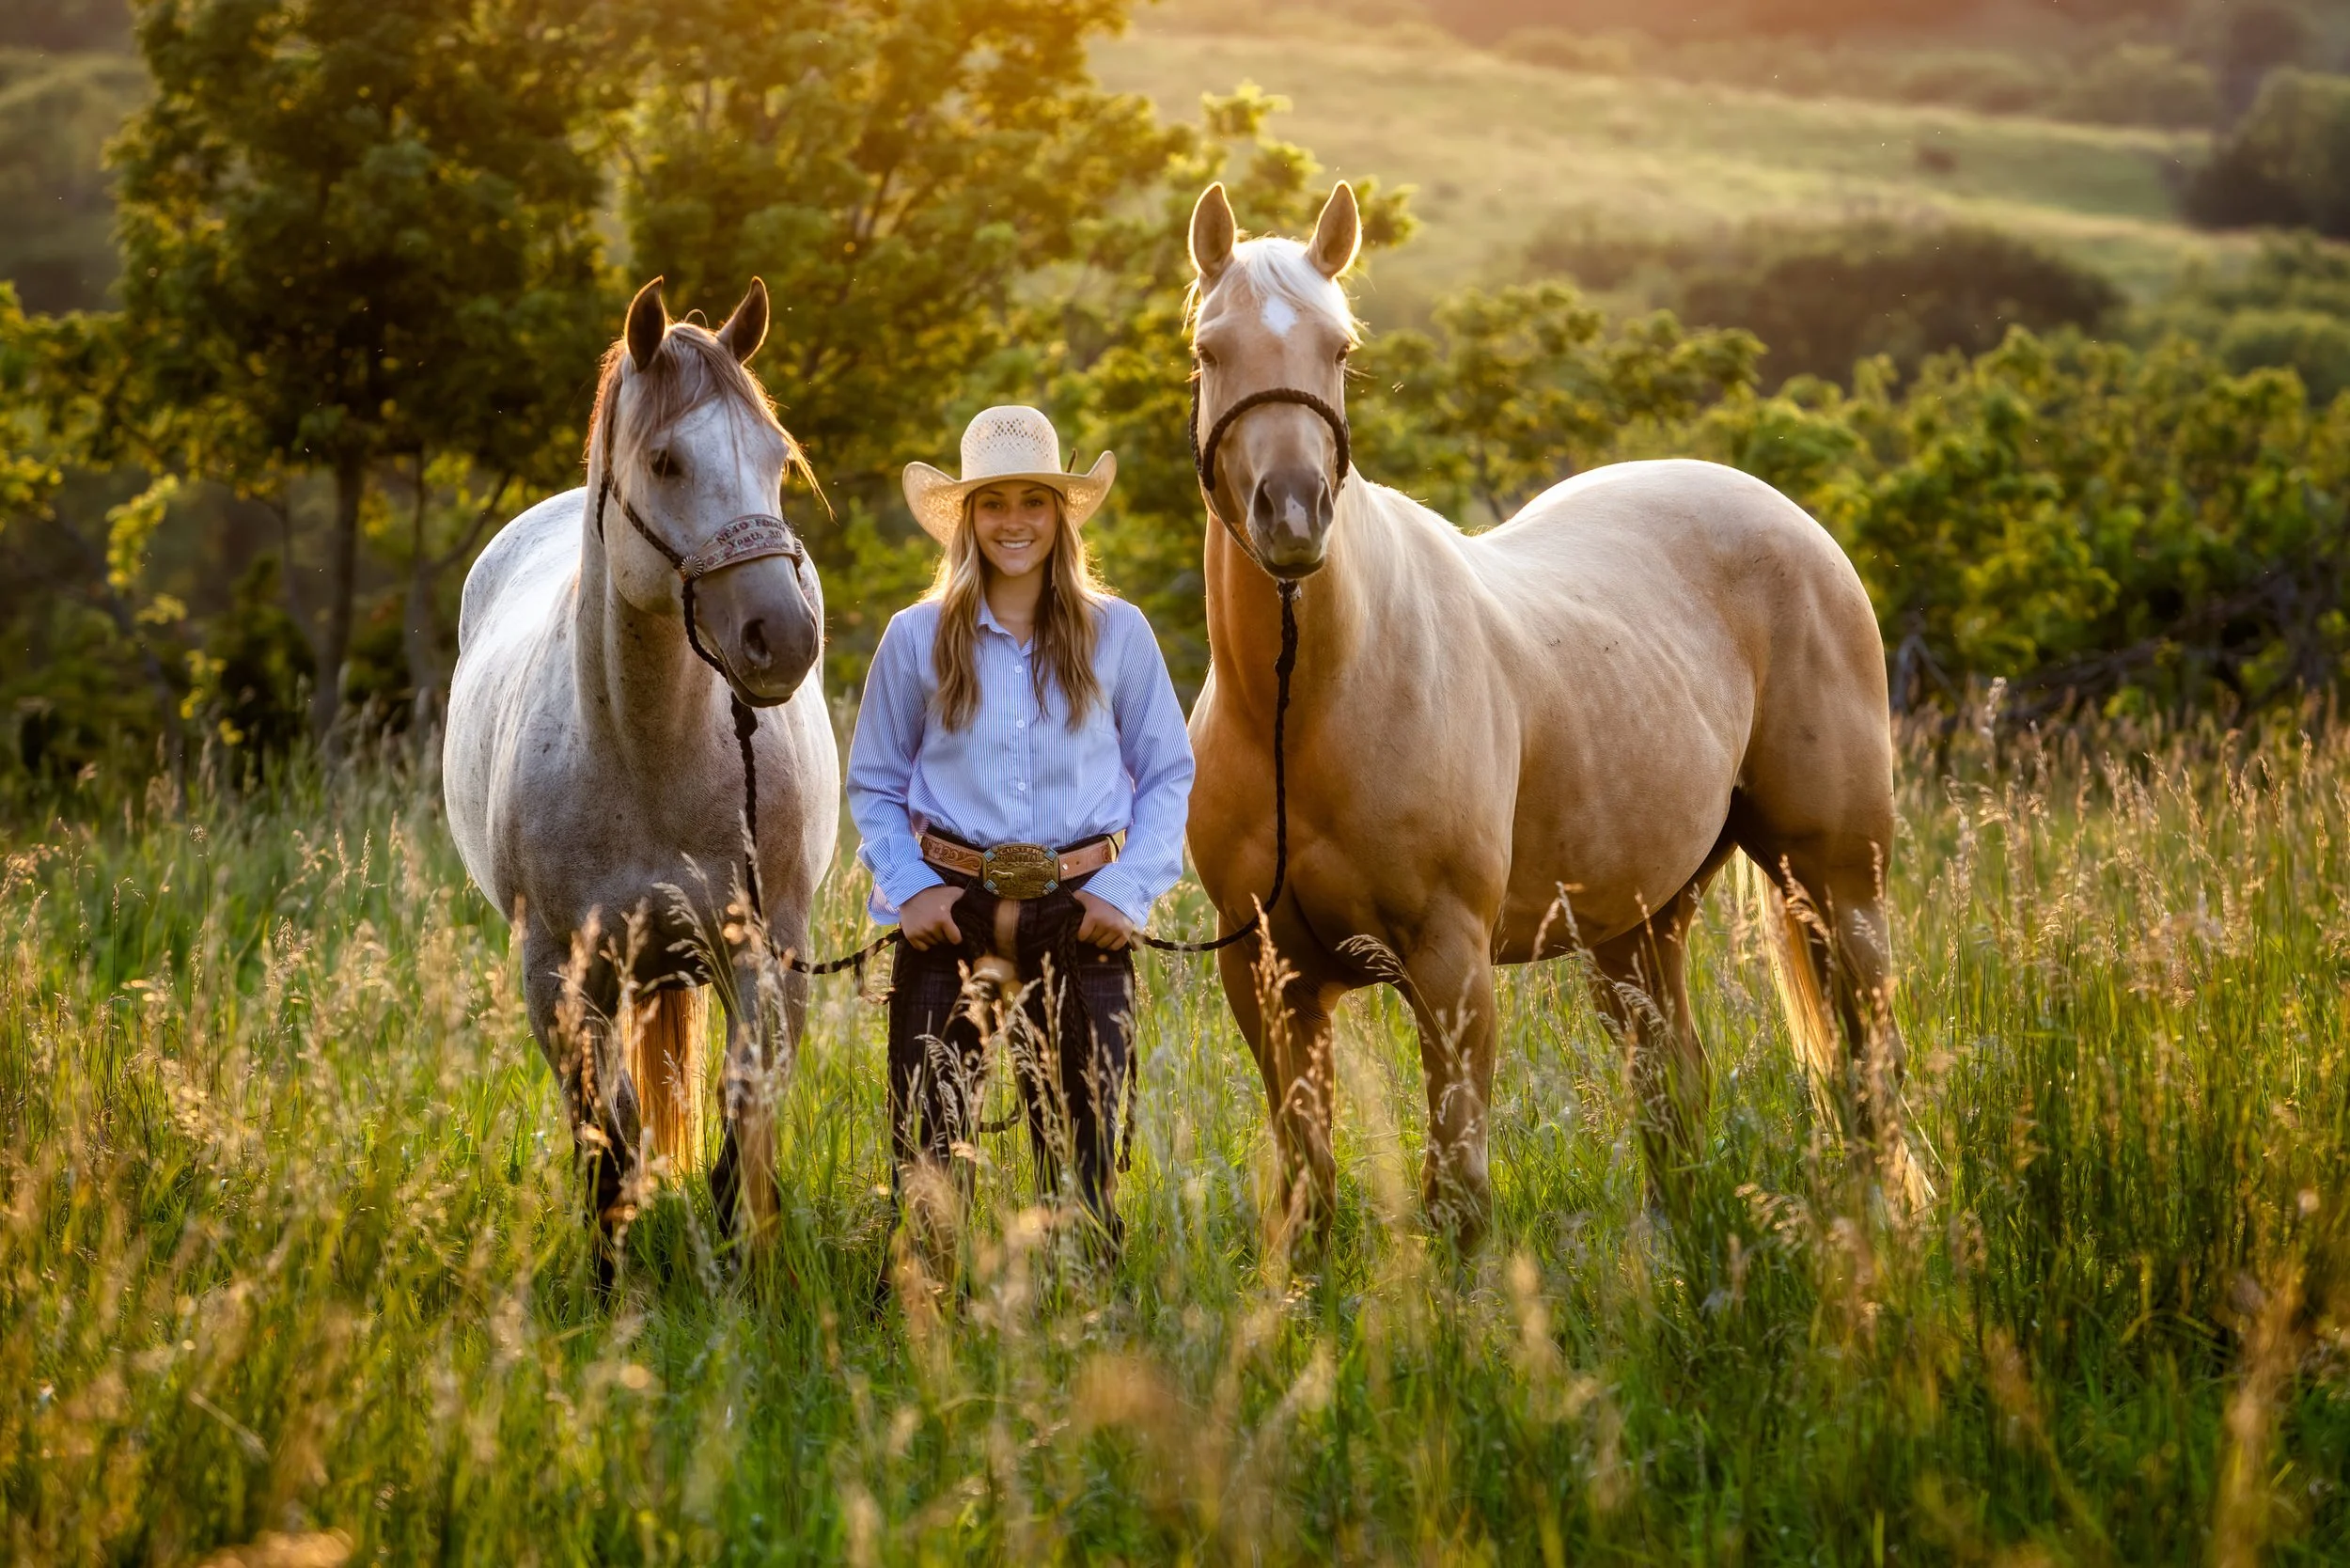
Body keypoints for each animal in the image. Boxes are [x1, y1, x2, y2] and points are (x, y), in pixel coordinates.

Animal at [444, 277, 839, 1255]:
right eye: (665, 462)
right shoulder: (558, 981)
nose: (783, 638)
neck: (650, 758)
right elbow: (609, 1155)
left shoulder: (768, 963)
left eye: (778, 460)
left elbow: (742, 1142)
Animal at [1182, 182, 1926, 1250]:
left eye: (1340, 349)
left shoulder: (1450, 969)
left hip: (1835, 883)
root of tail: (1792, 522)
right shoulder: (1266, 978)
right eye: (1210, 351)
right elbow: (1310, 1190)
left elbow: (1457, 1194)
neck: (1307, 709)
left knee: (1869, 1069)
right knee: (1673, 1084)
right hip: (1642, 924)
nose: (1291, 513)